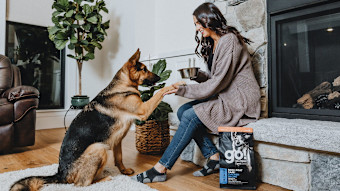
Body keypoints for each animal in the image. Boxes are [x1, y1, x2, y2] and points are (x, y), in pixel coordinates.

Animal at [9, 49, 175, 191]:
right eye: (144, 69)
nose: (159, 78)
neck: (123, 85)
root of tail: (61, 174)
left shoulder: (118, 140)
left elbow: (119, 158)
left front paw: (124, 171)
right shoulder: (144, 110)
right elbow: (159, 92)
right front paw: (174, 85)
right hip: (99, 148)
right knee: (82, 184)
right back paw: (104, 179)